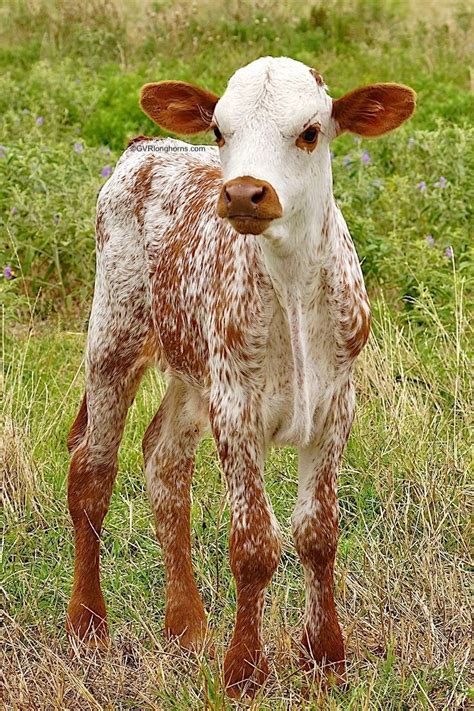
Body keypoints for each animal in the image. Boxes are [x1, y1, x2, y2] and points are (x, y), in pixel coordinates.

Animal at [65, 57, 412, 700]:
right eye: (221, 130)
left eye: (310, 132)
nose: (246, 192)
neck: (292, 285)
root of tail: (147, 147)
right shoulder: (237, 409)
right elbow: (254, 544)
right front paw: (245, 672)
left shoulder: (336, 404)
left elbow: (318, 533)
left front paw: (327, 659)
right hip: (114, 336)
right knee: (92, 473)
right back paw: (88, 624)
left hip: (192, 371)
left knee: (163, 462)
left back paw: (187, 626)